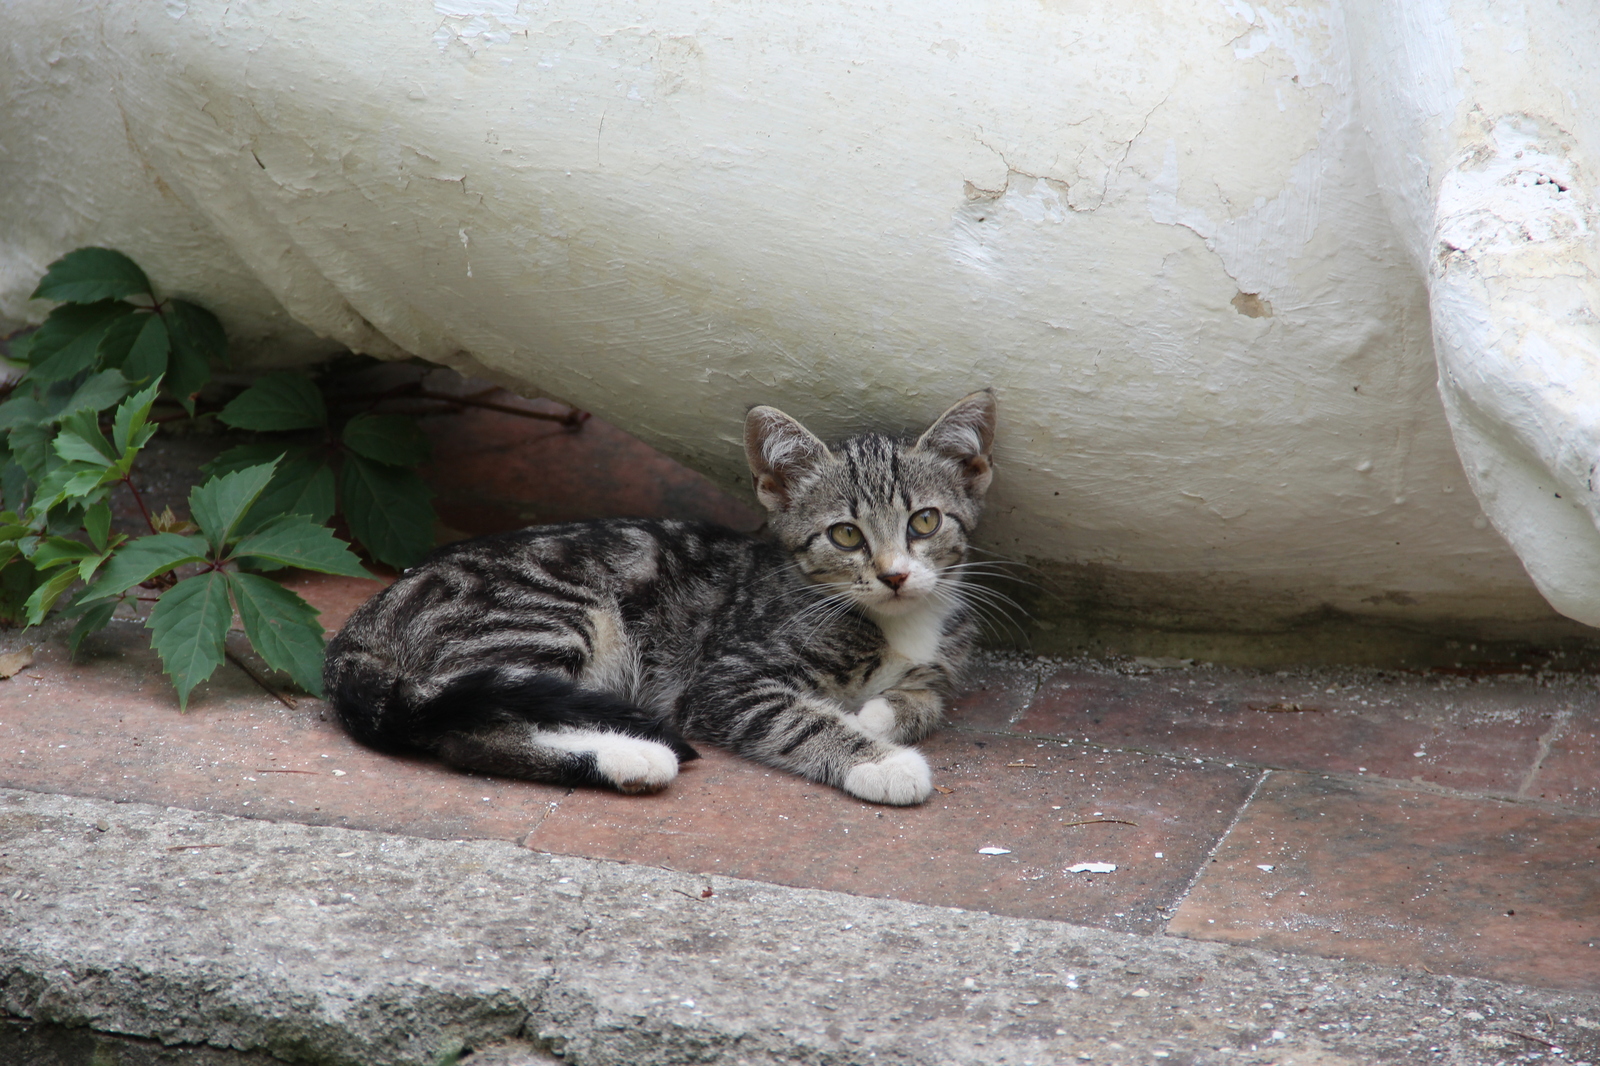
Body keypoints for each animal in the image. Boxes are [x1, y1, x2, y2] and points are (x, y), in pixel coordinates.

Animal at [323, 392, 992, 806]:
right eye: (846, 535)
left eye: (925, 522)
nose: (895, 575)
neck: (897, 621)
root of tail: (358, 631)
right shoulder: (727, 679)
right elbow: (797, 717)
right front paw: (879, 759)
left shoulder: (941, 663)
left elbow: (924, 699)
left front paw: (876, 716)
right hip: (549, 613)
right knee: (469, 730)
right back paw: (635, 758)